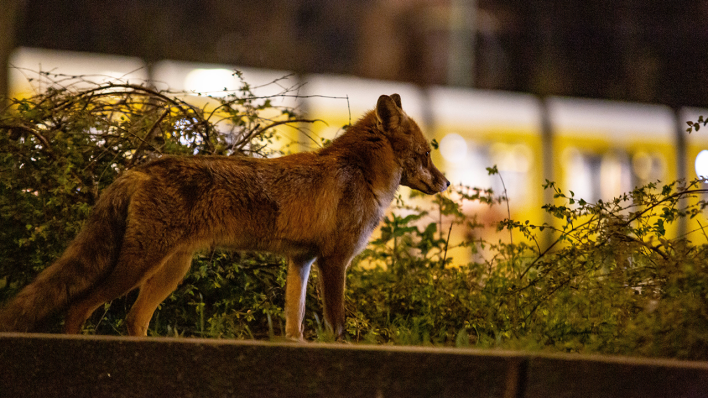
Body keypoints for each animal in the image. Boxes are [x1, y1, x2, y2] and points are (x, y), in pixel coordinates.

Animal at [0, 92, 450, 338]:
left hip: (170, 270)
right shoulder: (333, 261)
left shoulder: (301, 261)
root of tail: (142, 167)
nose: (445, 183)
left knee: (132, 320)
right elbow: (335, 325)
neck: (359, 172)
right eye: (425, 154)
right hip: (138, 265)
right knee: (79, 307)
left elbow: (295, 326)